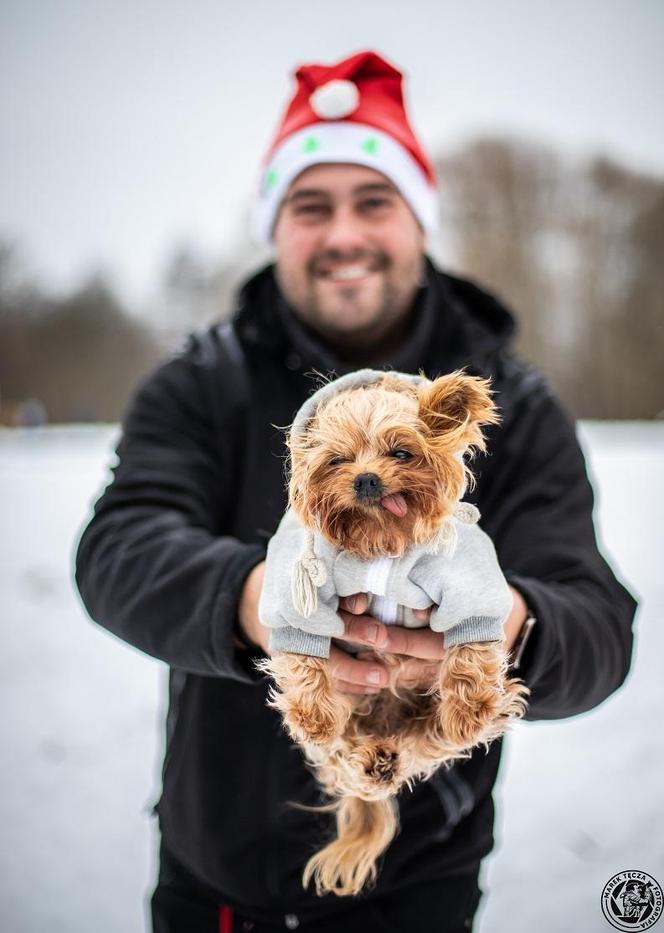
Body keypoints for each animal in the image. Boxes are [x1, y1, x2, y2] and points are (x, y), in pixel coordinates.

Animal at [256, 370, 528, 896]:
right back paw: (370, 761)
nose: (366, 478)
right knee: (343, 754)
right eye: (337, 460)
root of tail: (381, 729)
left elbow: (470, 642)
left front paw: (470, 709)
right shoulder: (297, 588)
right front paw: (312, 714)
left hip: (422, 720)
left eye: (401, 452)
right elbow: (303, 652)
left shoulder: (464, 576)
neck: (379, 539)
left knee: (429, 743)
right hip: (350, 721)